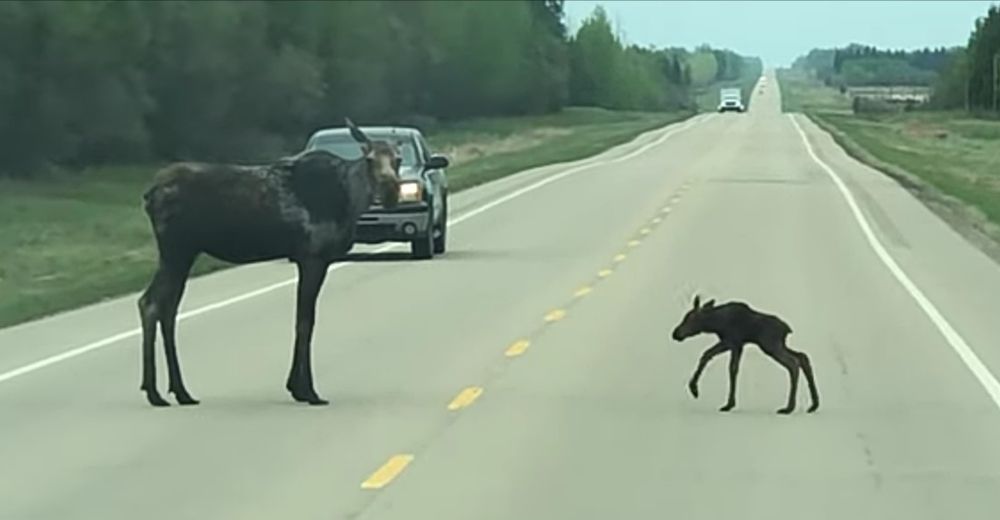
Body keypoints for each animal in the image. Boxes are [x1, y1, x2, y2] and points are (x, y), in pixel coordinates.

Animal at [138, 118, 402, 406]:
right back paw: (155, 392)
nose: (391, 191)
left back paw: (179, 391)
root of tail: (150, 195)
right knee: (151, 304)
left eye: (397, 159)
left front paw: (295, 387)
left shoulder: (307, 259)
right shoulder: (313, 256)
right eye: (369, 159)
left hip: (183, 253)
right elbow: (305, 322)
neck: (349, 201)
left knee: (165, 308)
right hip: (176, 250)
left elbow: (302, 320)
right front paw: (308, 391)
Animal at [672, 296, 820, 414]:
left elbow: (721, 362)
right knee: (802, 356)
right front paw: (728, 403)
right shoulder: (737, 344)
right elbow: (724, 364)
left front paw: (695, 389)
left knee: (793, 363)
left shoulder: (732, 341)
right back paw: (813, 405)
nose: (676, 333)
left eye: (691, 318)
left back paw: (789, 407)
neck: (715, 323)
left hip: (771, 345)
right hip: (778, 345)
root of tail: (787, 329)